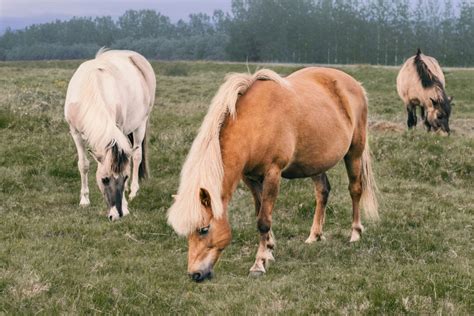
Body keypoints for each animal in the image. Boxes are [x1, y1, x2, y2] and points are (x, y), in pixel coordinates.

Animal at [64, 49, 156, 221]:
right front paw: (84, 200)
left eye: (124, 177)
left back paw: (133, 191)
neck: (92, 89)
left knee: (137, 156)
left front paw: (126, 204)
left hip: (141, 123)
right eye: (104, 179)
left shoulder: (118, 128)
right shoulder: (75, 132)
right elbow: (83, 165)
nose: (117, 214)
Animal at [167, 66, 378, 282]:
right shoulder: (250, 178)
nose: (195, 274)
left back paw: (355, 233)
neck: (254, 123)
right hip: (316, 162)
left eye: (204, 229)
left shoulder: (272, 174)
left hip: (354, 152)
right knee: (322, 192)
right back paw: (315, 235)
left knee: (355, 189)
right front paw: (269, 249)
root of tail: (354, 84)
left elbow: (263, 221)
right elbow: (260, 211)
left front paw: (259, 263)